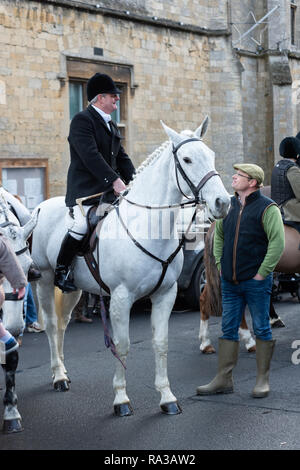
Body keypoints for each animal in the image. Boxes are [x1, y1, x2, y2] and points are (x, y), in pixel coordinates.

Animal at [31, 117, 231, 414]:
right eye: (187, 159)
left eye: (212, 155)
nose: (223, 202)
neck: (147, 225)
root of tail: (41, 207)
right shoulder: (121, 298)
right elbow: (122, 345)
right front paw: (121, 399)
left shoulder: (165, 294)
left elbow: (161, 343)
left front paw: (167, 397)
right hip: (45, 280)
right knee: (53, 326)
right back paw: (57, 376)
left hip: (73, 288)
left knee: (64, 325)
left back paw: (64, 371)